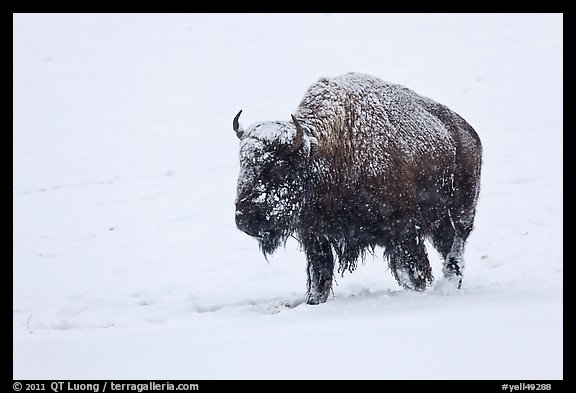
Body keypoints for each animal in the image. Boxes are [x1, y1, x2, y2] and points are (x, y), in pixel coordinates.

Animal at [234, 72, 482, 304]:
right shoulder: (315, 236)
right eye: (243, 165)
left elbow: (411, 271)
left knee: (456, 245)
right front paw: (313, 302)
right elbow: (319, 276)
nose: (244, 219)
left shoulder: (403, 230)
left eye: (276, 168)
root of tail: (468, 132)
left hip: (461, 211)